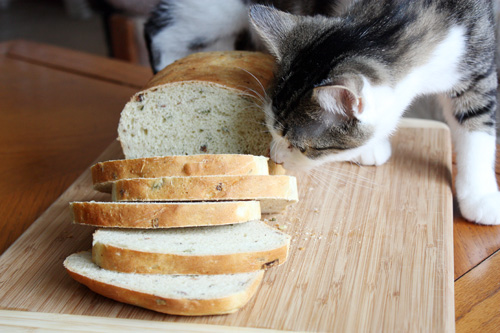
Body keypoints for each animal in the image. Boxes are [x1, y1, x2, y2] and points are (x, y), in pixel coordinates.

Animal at [145, 0, 500, 226]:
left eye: (300, 147)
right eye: (269, 129)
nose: (274, 159)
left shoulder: (478, 62)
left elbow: (477, 128)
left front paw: (480, 194)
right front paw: (372, 147)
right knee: (161, 28)